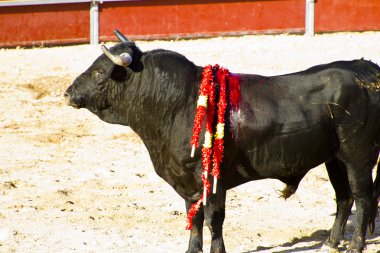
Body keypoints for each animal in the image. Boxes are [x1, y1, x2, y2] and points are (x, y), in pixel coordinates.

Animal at [64, 32, 380, 252]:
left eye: (99, 72)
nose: (68, 93)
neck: (178, 102)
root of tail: (365, 71)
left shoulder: (213, 178)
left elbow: (213, 217)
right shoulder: (188, 181)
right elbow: (194, 218)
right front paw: (192, 249)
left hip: (358, 155)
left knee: (362, 196)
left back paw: (355, 245)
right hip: (334, 158)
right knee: (344, 197)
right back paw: (332, 243)